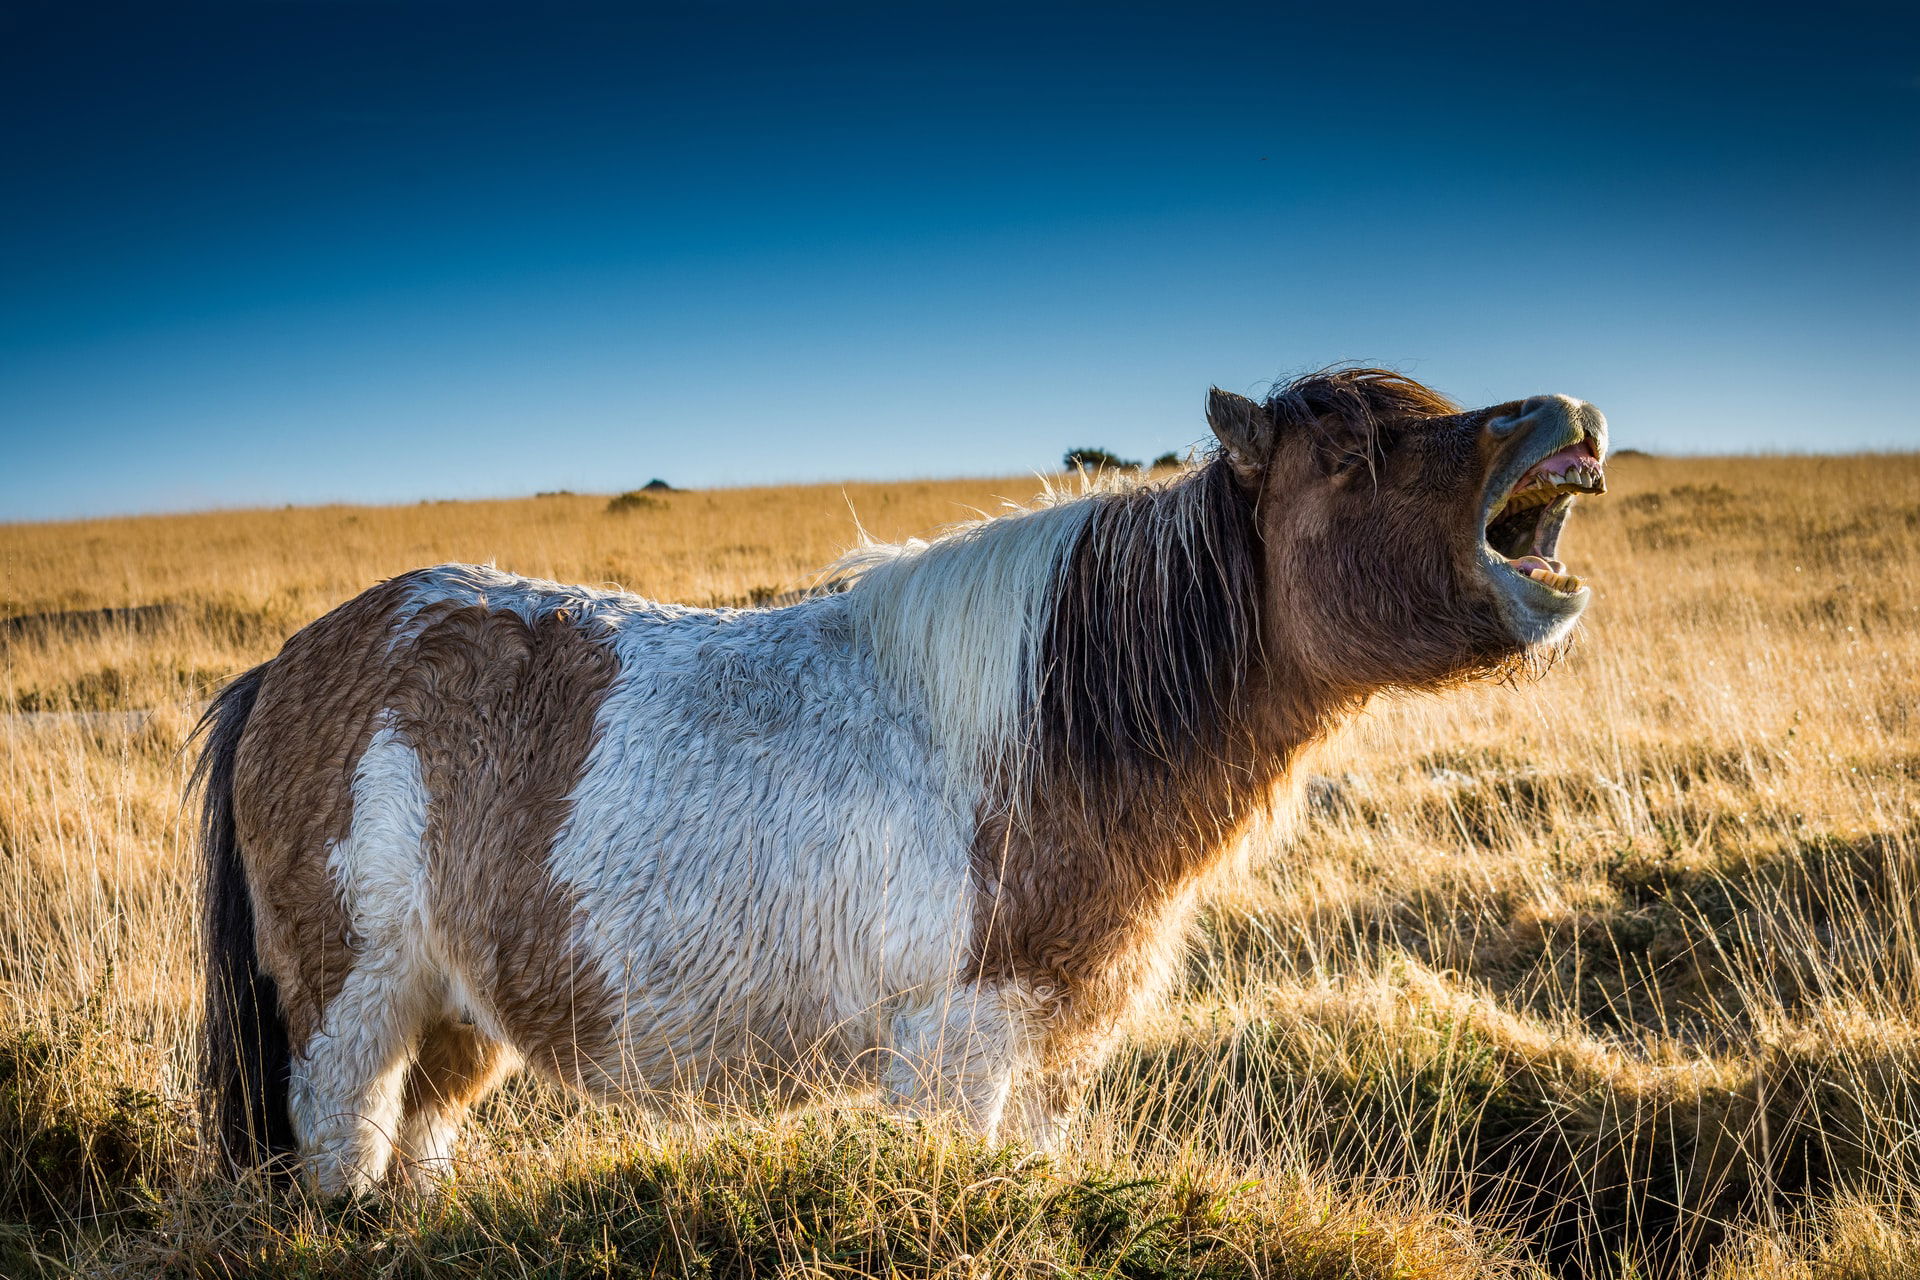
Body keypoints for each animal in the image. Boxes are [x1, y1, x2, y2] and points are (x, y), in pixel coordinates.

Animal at [191, 368, 1605, 1189]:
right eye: (1352, 452)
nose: (1568, 419)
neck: (1049, 729)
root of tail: (289, 664)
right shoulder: (955, 1051)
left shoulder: (1046, 1058)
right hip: (351, 1011)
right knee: (342, 1152)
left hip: (456, 1015)